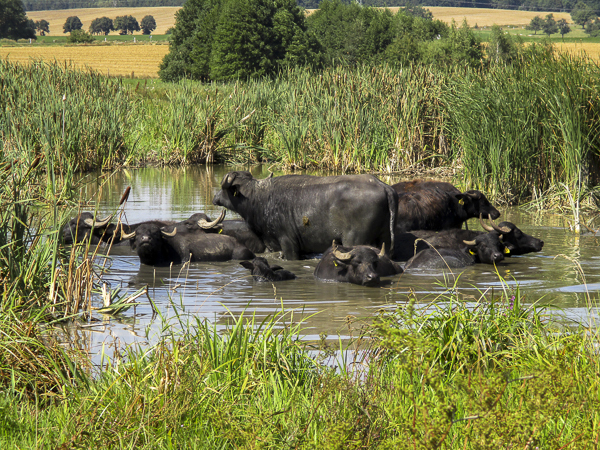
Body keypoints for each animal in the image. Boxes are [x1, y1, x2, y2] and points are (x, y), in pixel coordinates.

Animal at [212, 171, 398, 260]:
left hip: (355, 240)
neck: (259, 199)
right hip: (385, 239)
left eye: (223, 189)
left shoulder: (288, 243)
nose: (215, 198)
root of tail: (383, 186)